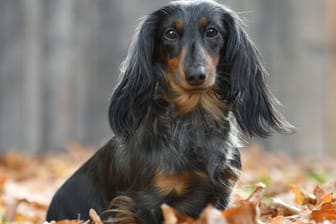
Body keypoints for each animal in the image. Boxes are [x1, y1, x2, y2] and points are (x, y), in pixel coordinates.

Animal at [46, 0, 292, 222]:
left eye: (212, 31)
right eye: (170, 33)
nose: (196, 75)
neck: (194, 121)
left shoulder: (220, 194)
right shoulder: (147, 201)